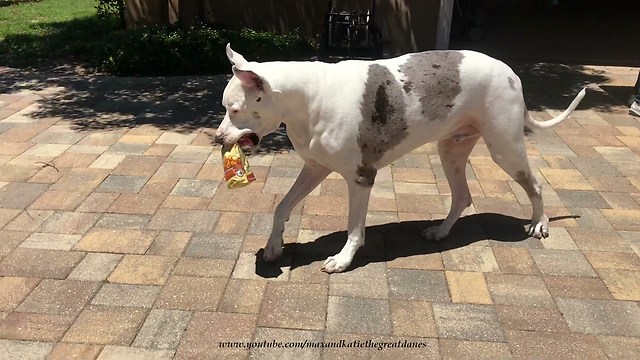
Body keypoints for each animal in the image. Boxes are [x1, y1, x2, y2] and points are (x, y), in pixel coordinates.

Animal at [218, 43, 588, 272]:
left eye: (235, 110)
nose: (218, 138)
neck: (309, 97)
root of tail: (511, 72)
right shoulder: (315, 168)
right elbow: (282, 207)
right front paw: (274, 247)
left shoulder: (361, 178)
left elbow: (355, 228)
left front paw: (343, 259)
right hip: (451, 150)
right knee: (463, 197)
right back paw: (441, 232)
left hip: (505, 149)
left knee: (535, 185)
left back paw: (539, 224)